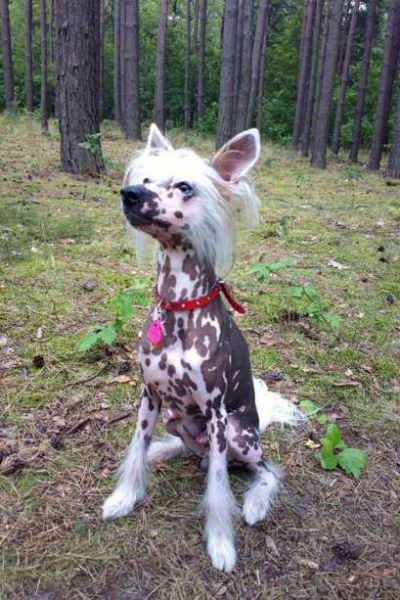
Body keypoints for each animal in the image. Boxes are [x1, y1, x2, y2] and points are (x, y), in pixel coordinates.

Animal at [102, 124, 302, 572]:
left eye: (183, 186)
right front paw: (125, 497)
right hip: (178, 418)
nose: (130, 194)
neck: (180, 306)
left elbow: (217, 487)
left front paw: (221, 543)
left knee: (257, 468)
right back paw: (166, 452)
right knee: (192, 451)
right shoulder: (150, 397)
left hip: (239, 434)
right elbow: (136, 447)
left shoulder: (215, 414)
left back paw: (255, 502)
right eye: (146, 179)